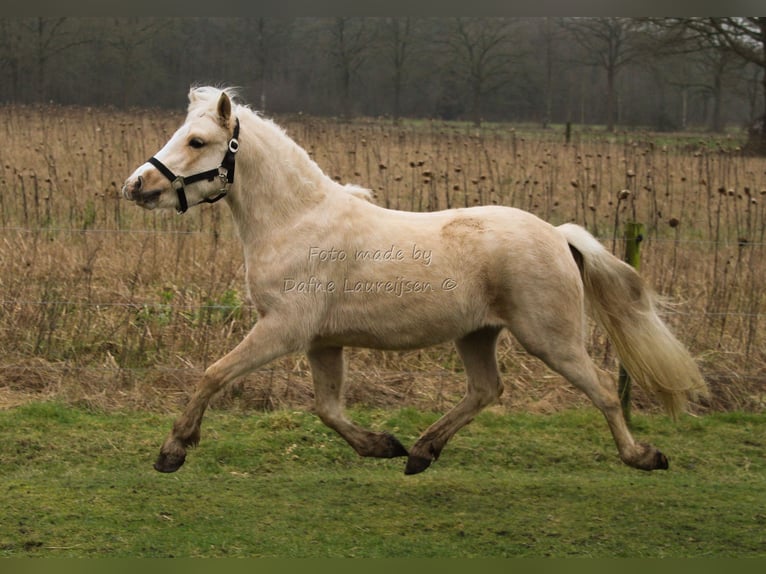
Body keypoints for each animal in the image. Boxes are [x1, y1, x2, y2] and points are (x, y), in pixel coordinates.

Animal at [123, 86, 712, 476]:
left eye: (197, 141)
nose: (136, 186)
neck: (297, 220)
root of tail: (558, 235)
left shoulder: (283, 329)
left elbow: (214, 374)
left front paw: (173, 449)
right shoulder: (321, 341)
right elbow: (328, 408)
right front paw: (382, 445)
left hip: (552, 339)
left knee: (604, 392)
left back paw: (643, 456)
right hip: (477, 334)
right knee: (486, 389)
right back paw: (422, 452)